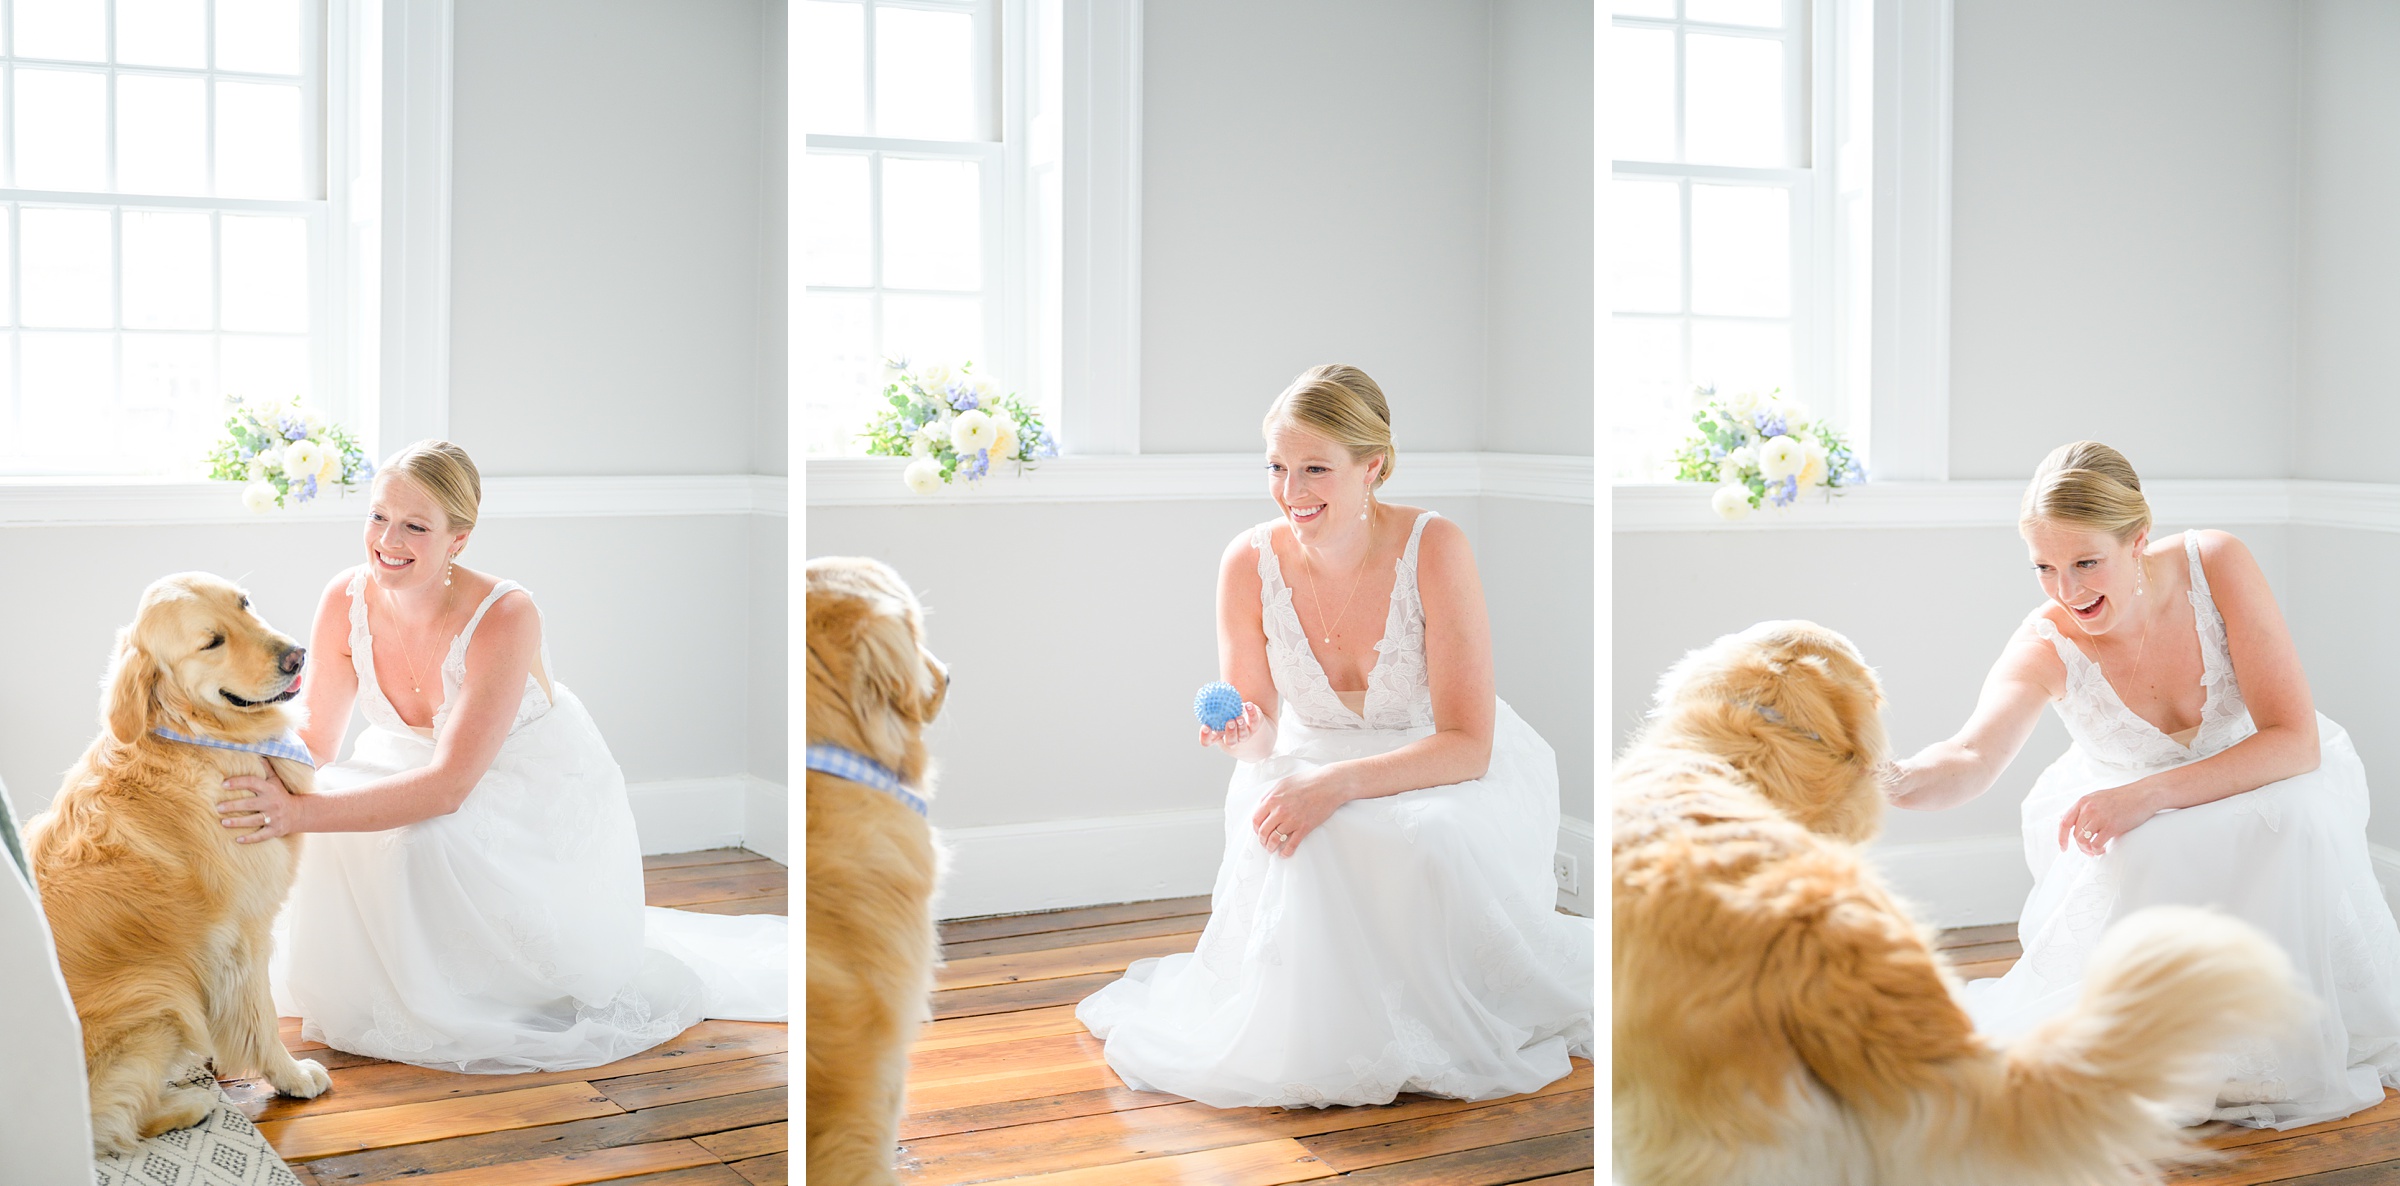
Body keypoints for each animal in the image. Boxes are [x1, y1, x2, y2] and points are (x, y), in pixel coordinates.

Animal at [28, 576, 331, 1157]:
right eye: (211, 641)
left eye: (245, 603)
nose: (297, 655)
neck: (198, 736)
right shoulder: (246, 932)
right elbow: (262, 1017)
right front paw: (290, 1076)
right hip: (159, 992)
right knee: (112, 1128)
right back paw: (190, 1103)